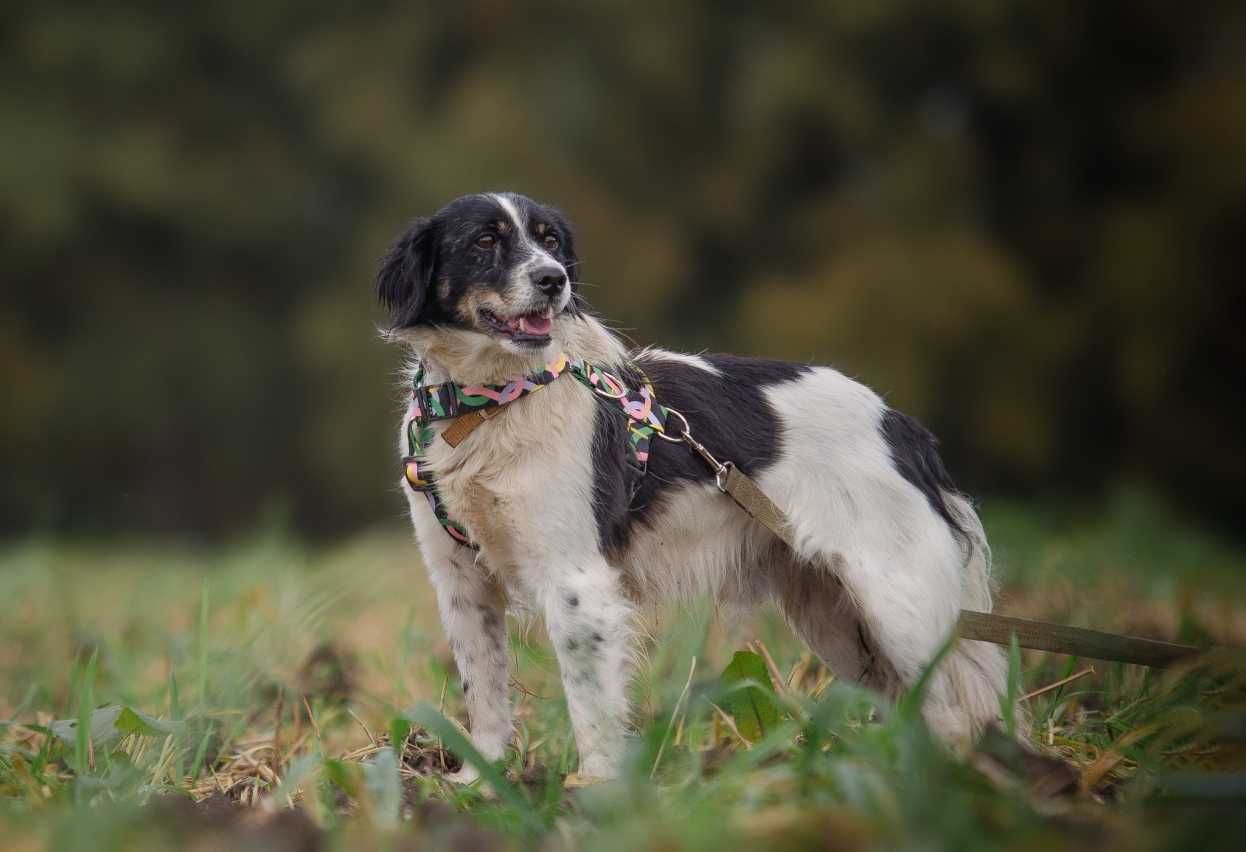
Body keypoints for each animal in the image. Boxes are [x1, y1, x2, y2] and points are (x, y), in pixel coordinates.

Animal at [373, 191, 1006, 777]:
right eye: (484, 241)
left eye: (550, 241)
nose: (553, 280)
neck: (487, 404)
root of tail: (900, 425)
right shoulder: (462, 583)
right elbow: (483, 693)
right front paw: (481, 781)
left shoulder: (577, 582)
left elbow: (591, 706)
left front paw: (593, 792)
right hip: (836, 617)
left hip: (898, 605)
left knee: (953, 713)